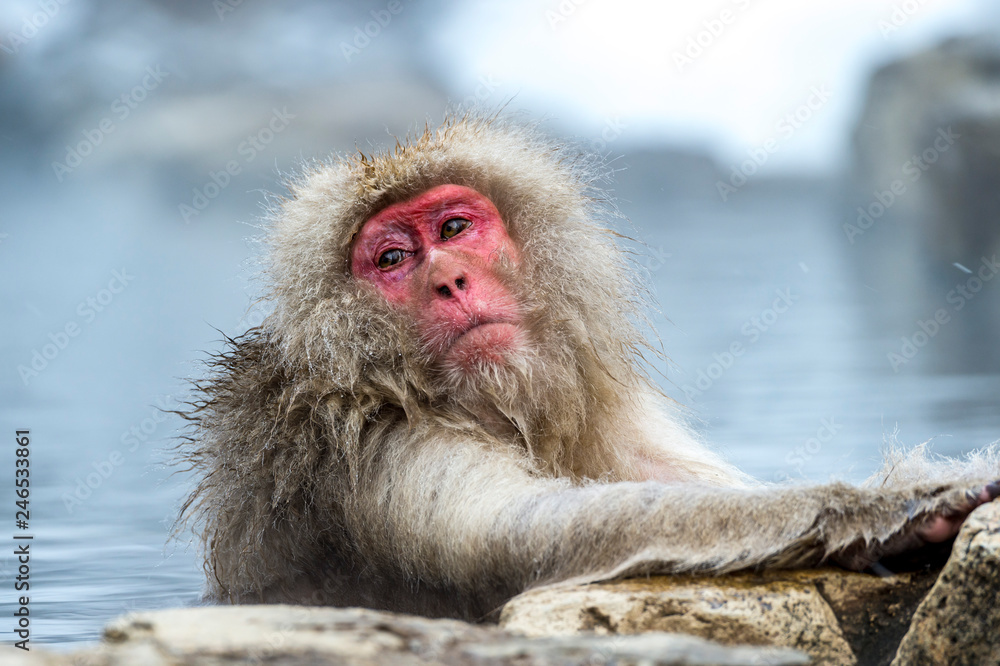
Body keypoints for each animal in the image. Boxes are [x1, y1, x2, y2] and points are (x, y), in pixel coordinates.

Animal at [178, 114, 1000, 622]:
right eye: (391, 259)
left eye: (454, 227)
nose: (449, 280)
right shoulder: (381, 450)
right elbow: (537, 538)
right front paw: (886, 507)